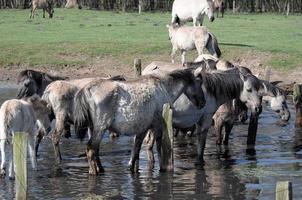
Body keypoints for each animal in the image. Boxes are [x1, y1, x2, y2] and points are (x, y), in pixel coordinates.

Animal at [73, 68, 205, 174]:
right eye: (199, 82)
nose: (203, 103)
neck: (163, 88)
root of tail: (87, 89)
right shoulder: (158, 125)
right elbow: (158, 146)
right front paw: (162, 168)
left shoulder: (143, 129)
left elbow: (136, 151)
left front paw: (132, 169)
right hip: (100, 128)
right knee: (90, 149)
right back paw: (94, 172)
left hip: (93, 129)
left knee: (95, 150)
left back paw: (100, 169)